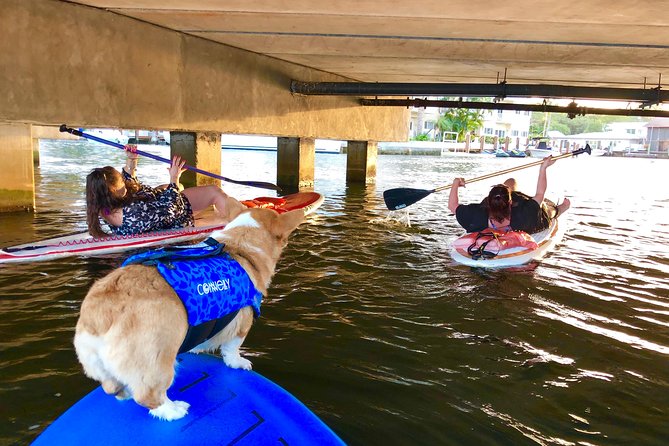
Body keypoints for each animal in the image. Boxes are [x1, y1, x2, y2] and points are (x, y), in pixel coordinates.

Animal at [72, 207, 302, 420]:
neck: (240, 246)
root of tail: (98, 315)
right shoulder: (241, 326)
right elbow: (232, 350)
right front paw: (239, 362)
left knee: (112, 388)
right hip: (158, 361)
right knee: (148, 395)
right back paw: (173, 410)